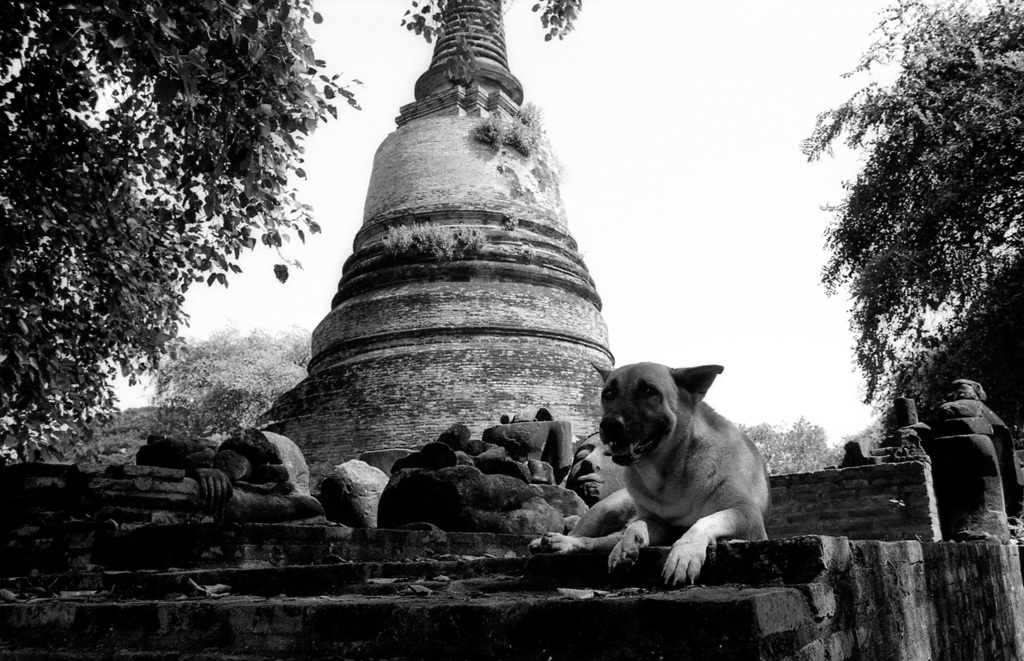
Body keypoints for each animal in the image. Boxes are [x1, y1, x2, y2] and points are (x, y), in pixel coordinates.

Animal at [532, 364, 765, 589]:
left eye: (648, 391)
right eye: (608, 393)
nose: (608, 424)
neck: (670, 472)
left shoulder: (747, 515)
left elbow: (704, 521)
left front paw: (683, 556)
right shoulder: (661, 524)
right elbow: (639, 525)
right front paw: (626, 546)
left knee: (598, 541)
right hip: (608, 507)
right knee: (585, 534)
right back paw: (558, 542)